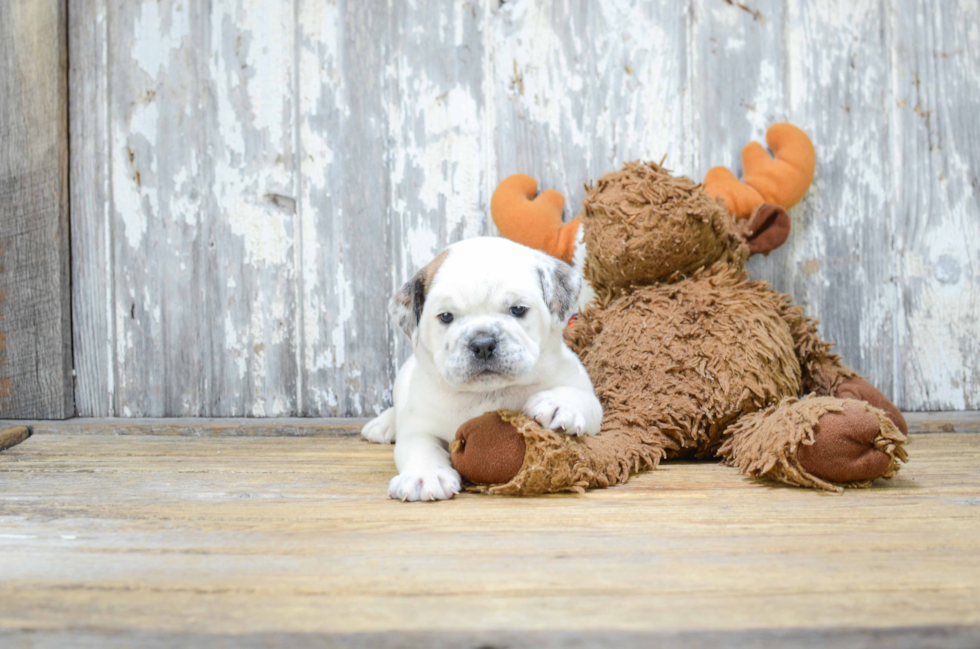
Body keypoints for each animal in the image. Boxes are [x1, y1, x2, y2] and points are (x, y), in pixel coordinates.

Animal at [362, 237, 600, 502]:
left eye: (518, 309)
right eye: (446, 316)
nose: (483, 343)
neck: (488, 393)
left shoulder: (580, 386)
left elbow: (581, 397)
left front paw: (559, 403)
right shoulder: (420, 426)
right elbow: (420, 447)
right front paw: (424, 476)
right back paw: (384, 423)